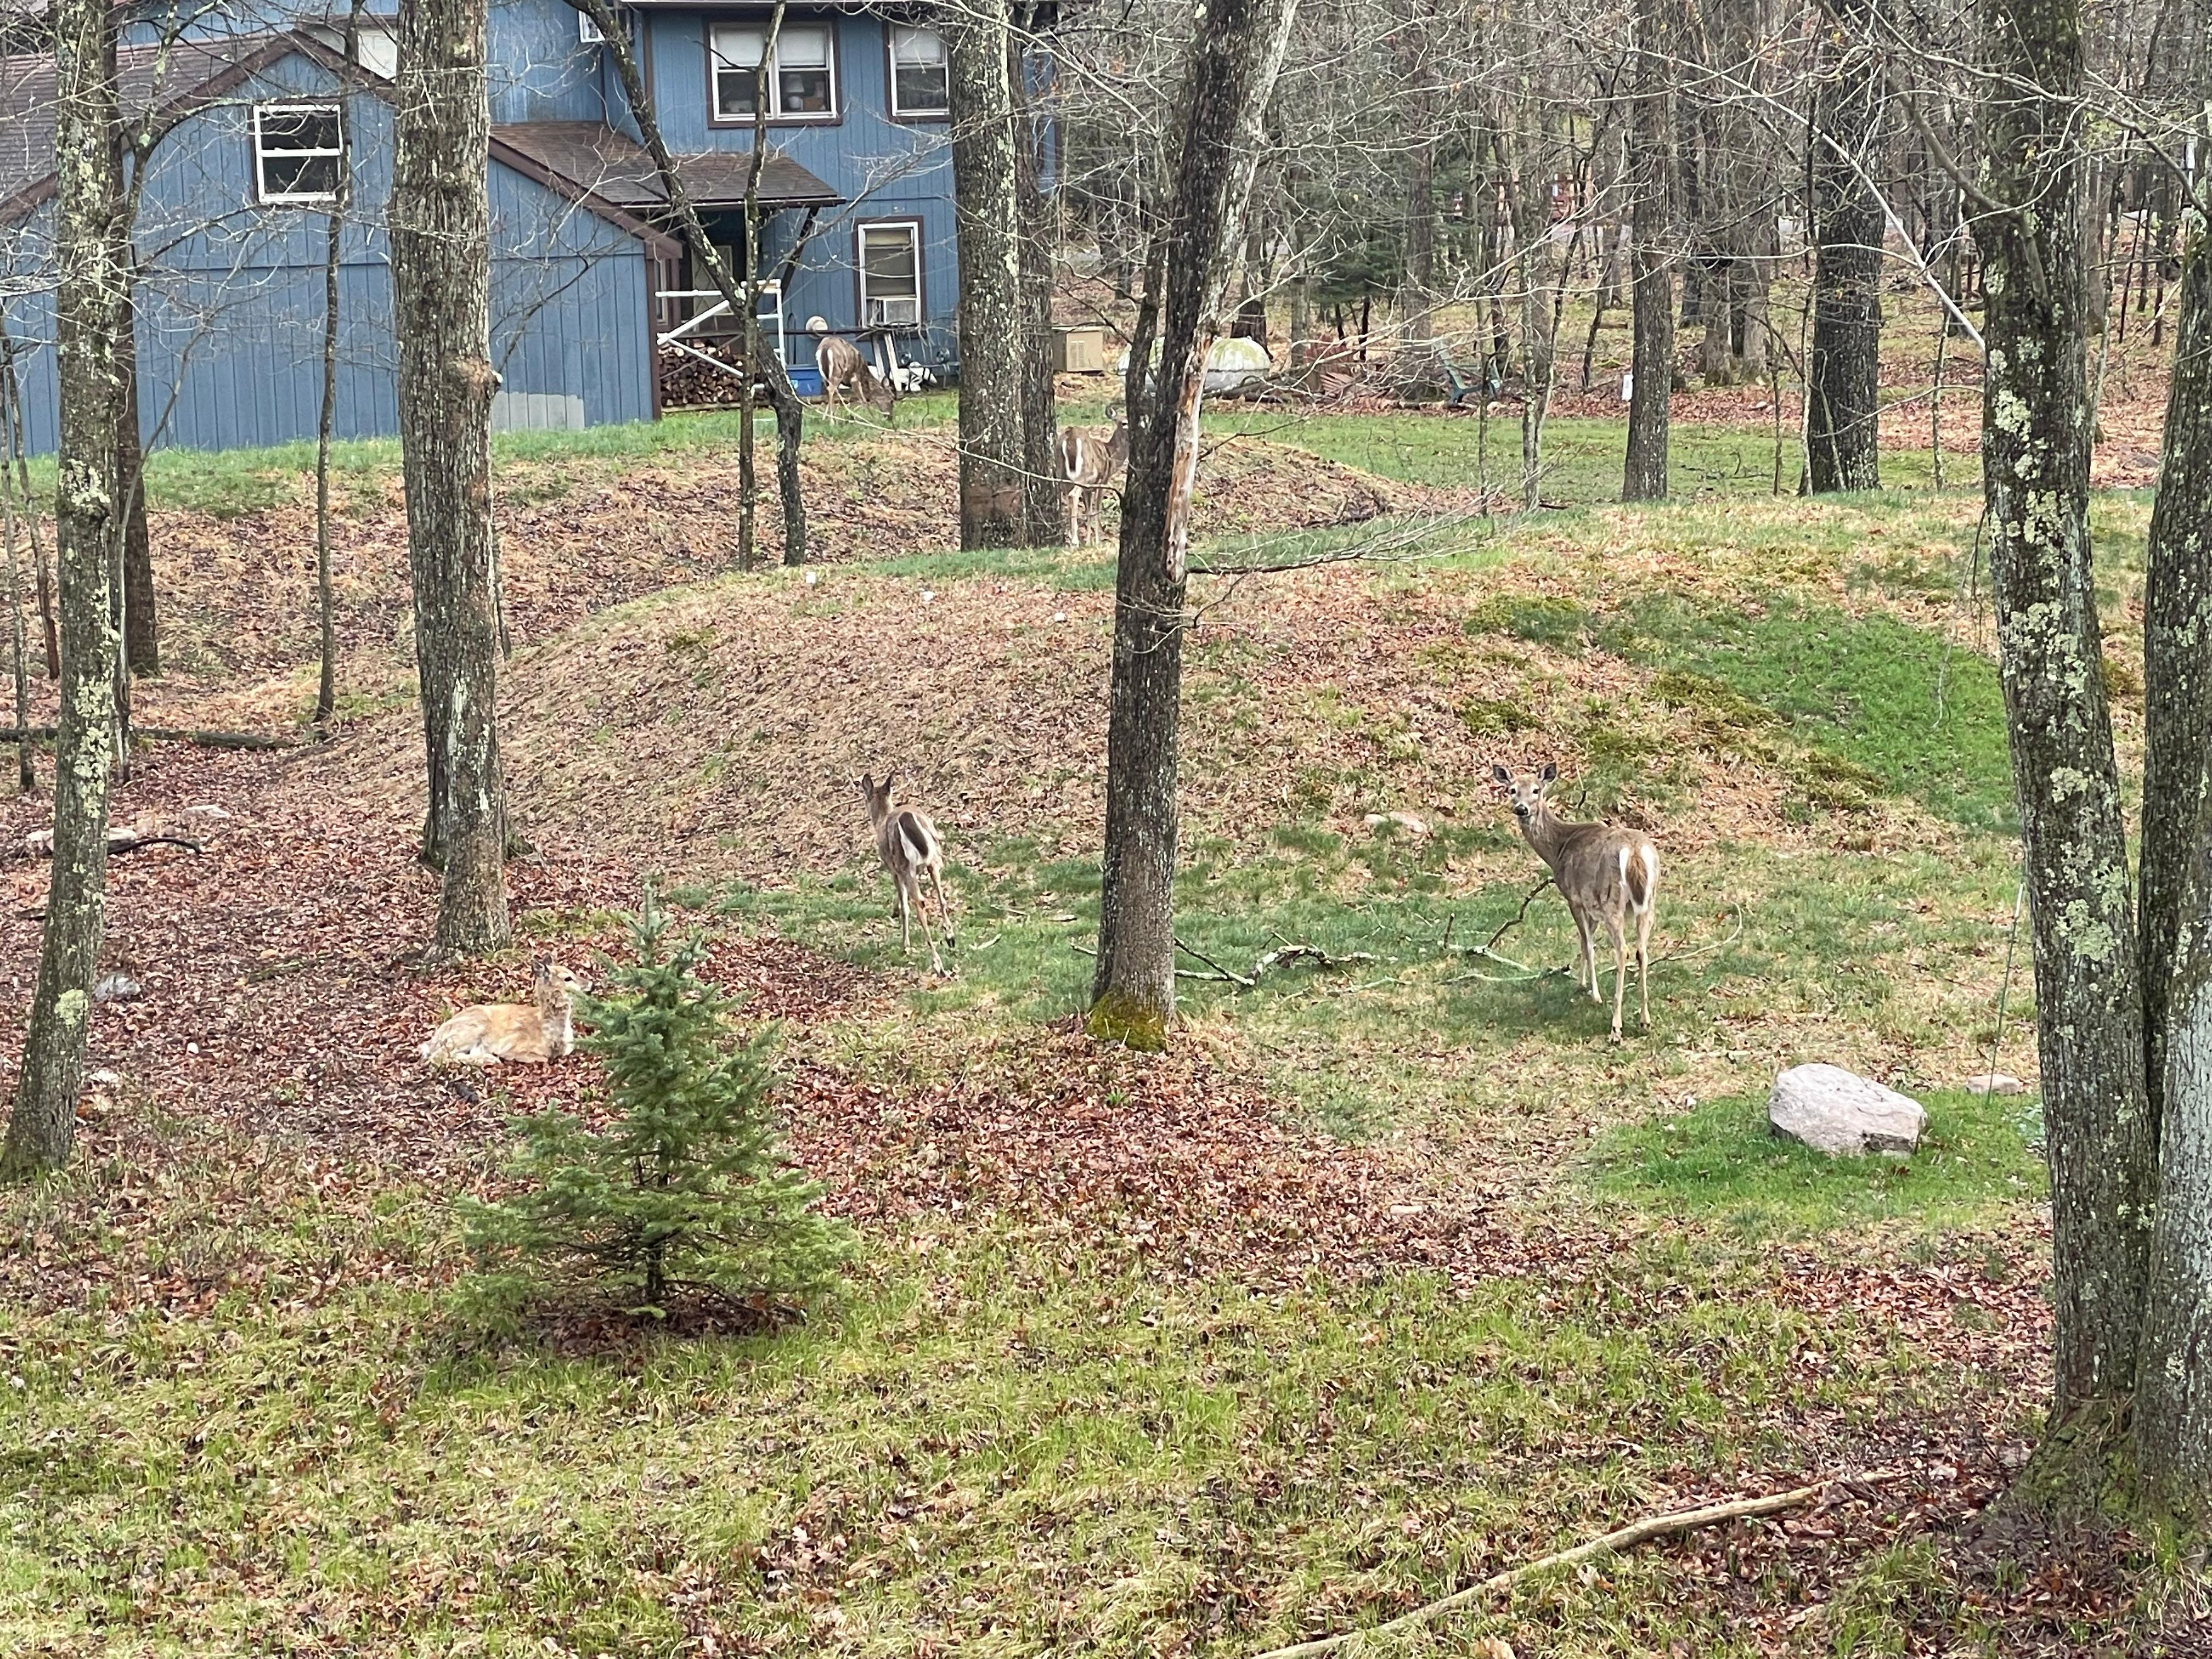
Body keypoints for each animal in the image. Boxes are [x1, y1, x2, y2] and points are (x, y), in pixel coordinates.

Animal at [420, 960, 585, 1066]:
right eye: (567, 978)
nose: (589, 985)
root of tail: (435, 1038)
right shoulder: (511, 1046)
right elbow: (542, 1058)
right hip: (471, 1028)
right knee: (438, 1056)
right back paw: (490, 1060)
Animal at [806, 316, 895, 417]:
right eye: (892, 399)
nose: (890, 417)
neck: (864, 375)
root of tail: (826, 348)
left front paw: (825, 417)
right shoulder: (855, 378)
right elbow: (864, 400)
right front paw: (871, 418)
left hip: (825, 375)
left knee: (828, 391)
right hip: (838, 371)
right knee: (831, 390)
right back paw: (832, 420)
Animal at [860, 771, 953, 973]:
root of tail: (909, 818)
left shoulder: (893, 869)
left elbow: (905, 907)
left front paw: (905, 946)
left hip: (905, 864)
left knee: (919, 902)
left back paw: (937, 963)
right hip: (934, 858)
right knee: (941, 896)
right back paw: (950, 937)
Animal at [1060, 404, 1128, 546]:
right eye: (1124, 423)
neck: (1111, 454)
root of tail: (1071, 434)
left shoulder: (1089, 488)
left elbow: (1088, 511)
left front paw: (1088, 541)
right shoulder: (1103, 481)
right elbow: (1096, 509)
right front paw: (1097, 541)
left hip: (1062, 473)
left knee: (1066, 496)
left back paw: (1070, 537)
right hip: (1084, 473)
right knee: (1073, 495)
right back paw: (1075, 541)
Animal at [1491, 762, 1660, 1042]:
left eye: (1537, 790)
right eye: (1512, 790)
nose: (1522, 809)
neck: (1558, 848)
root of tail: (1635, 852)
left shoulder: (1574, 897)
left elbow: (1587, 943)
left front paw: (1593, 994)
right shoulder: (1591, 907)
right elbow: (1585, 942)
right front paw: (1582, 984)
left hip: (1612, 900)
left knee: (1623, 951)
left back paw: (1616, 1027)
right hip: (1648, 902)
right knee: (1642, 951)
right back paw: (1645, 1021)